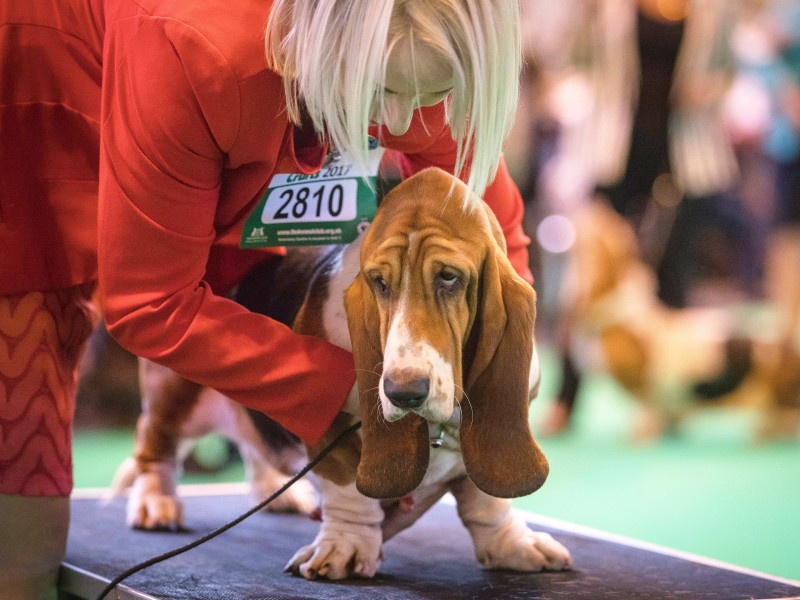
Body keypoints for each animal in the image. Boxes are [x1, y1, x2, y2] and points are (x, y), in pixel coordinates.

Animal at [114, 168, 576, 576]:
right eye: (379, 283)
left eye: (449, 277)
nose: (403, 392)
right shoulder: (327, 426)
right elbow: (347, 489)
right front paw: (346, 548)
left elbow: (486, 501)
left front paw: (513, 544)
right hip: (177, 392)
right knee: (155, 444)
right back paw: (156, 503)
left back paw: (278, 493)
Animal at [556, 202, 800, 440]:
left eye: (605, 224)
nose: (596, 203)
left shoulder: (648, 383)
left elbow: (649, 404)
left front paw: (644, 433)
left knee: (784, 416)